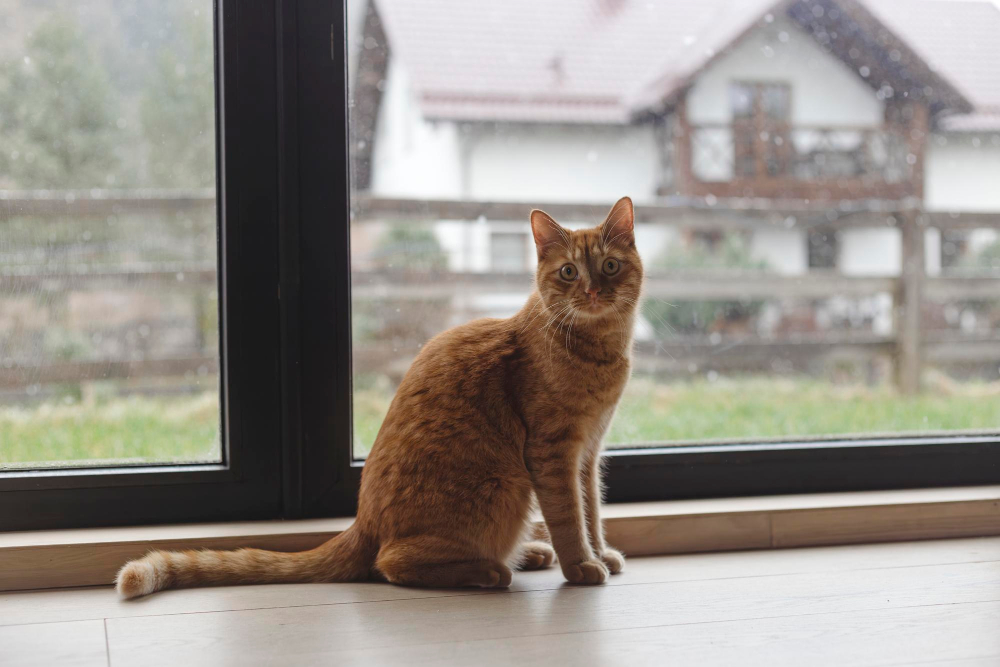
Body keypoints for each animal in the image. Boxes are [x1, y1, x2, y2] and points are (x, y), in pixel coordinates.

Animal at [117, 196, 644, 596]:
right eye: (569, 273)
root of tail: (361, 523)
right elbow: (568, 516)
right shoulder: (553, 453)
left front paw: (600, 553)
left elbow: (591, 511)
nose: (593, 291)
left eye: (610, 266)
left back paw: (530, 552)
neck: (600, 351)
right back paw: (491, 570)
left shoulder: (588, 454)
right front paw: (581, 565)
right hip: (503, 488)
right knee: (390, 564)